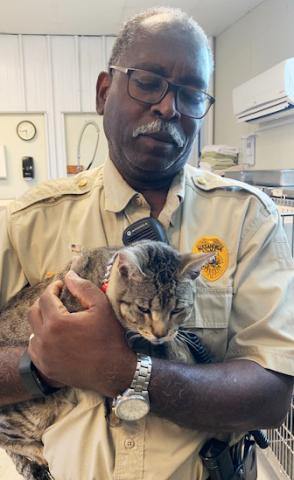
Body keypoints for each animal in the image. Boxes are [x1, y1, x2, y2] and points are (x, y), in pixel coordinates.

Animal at [0, 242, 211, 480]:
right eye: (143, 309)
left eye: (177, 310)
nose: (160, 334)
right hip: (27, 415)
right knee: (6, 440)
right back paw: (37, 451)